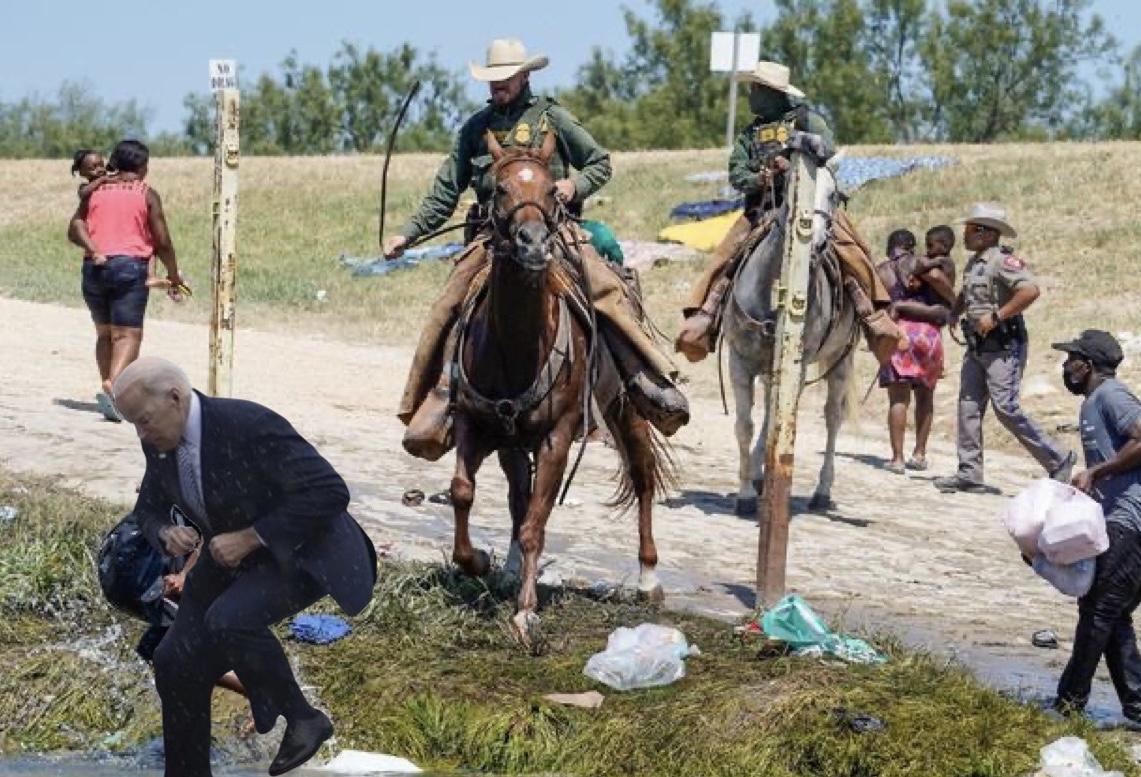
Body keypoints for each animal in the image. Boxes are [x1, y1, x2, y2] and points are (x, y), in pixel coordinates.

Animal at [449, 128, 670, 648]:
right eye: (499, 188)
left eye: (552, 190)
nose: (532, 244)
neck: (514, 346)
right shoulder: (474, 423)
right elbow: (464, 492)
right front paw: (478, 561)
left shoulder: (557, 438)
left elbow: (537, 524)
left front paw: (526, 614)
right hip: (512, 443)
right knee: (517, 495)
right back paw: (511, 567)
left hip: (626, 408)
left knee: (643, 476)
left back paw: (648, 578)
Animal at [725, 163, 858, 515]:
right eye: (793, 186)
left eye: (834, 194)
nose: (816, 244)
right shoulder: (739, 361)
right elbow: (745, 427)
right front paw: (746, 493)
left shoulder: (797, 365)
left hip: (840, 361)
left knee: (832, 418)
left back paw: (821, 492)